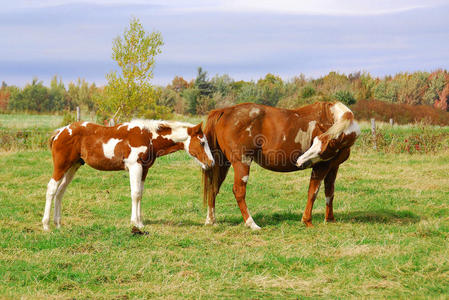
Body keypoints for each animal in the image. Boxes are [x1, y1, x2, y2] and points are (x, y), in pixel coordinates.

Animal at [43, 118, 214, 231]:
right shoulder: (134, 167)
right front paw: (135, 223)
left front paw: (140, 221)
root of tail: (59, 132)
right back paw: (46, 225)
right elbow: (135, 194)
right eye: (202, 142)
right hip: (61, 166)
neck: (148, 136)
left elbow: (140, 194)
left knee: (60, 191)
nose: (211, 163)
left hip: (73, 167)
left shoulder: (144, 169)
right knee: (52, 188)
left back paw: (58, 224)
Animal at [203, 102, 360, 229]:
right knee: (238, 191)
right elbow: (313, 193)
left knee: (213, 188)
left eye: (322, 148)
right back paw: (251, 224)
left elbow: (329, 193)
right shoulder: (321, 167)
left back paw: (211, 220)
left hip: (223, 164)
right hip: (242, 163)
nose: (300, 162)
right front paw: (307, 221)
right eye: (314, 144)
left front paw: (330, 219)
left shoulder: (333, 167)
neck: (332, 117)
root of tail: (225, 111)